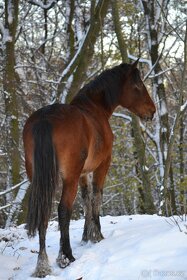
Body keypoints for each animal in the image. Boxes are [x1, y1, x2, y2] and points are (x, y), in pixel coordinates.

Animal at [22, 60, 156, 276]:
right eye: (137, 86)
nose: (152, 111)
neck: (94, 109)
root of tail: (45, 119)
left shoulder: (83, 173)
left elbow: (86, 200)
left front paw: (87, 236)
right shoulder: (102, 164)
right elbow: (96, 197)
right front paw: (97, 235)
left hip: (39, 178)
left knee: (44, 211)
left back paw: (42, 264)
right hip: (69, 178)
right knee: (63, 210)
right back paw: (65, 256)